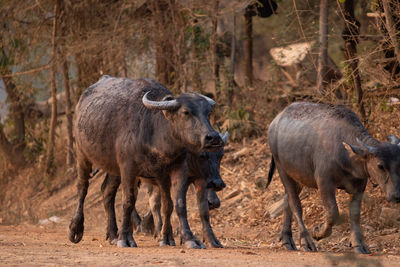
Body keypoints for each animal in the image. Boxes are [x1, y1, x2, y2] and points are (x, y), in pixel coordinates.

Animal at [69, 76, 225, 249]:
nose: (213, 138)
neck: (154, 132)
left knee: (107, 191)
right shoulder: (128, 168)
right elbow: (128, 201)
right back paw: (76, 229)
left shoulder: (174, 170)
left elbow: (175, 204)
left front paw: (185, 238)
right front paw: (126, 238)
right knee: (82, 188)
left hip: (113, 168)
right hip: (82, 154)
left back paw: (113, 234)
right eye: (186, 112)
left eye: (208, 112)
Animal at [268, 102, 400, 255]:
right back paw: (306, 241)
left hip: (297, 177)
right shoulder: (324, 182)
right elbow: (333, 212)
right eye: (380, 165)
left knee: (287, 200)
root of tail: (275, 122)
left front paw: (358, 244)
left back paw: (287, 240)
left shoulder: (360, 186)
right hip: (282, 170)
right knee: (295, 204)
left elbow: (355, 215)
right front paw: (317, 232)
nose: (396, 195)